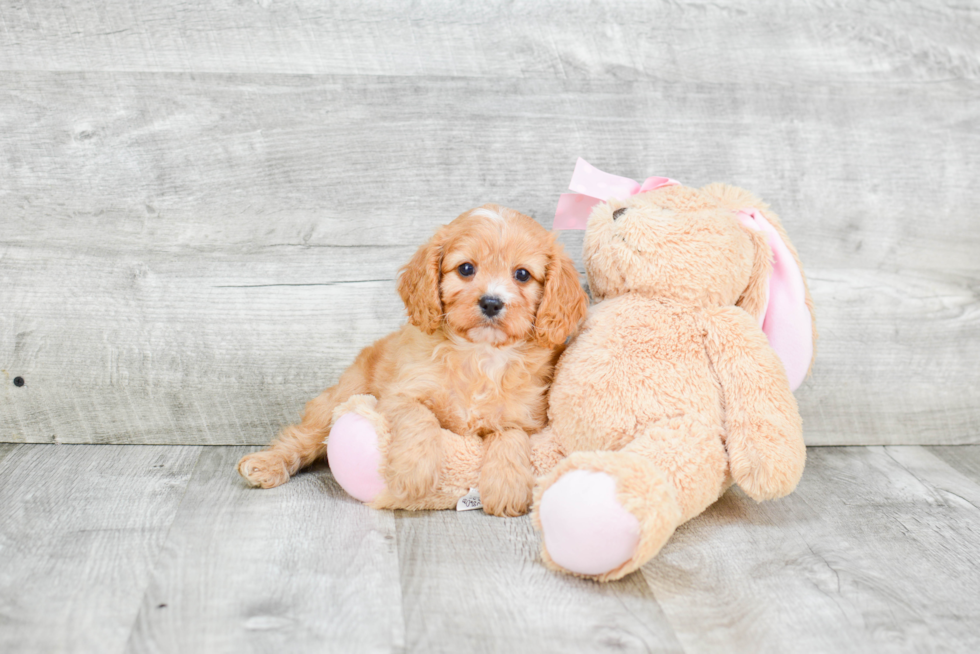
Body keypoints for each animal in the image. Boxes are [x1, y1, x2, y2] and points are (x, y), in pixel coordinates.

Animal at [238, 205, 584, 516]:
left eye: (522, 274)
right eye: (466, 269)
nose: (491, 302)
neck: (480, 355)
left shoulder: (526, 417)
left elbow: (510, 436)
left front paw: (507, 486)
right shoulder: (398, 395)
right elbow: (420, 417)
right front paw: (413, 472)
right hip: (338, 400)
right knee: (300, 437)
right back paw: (265, 463)